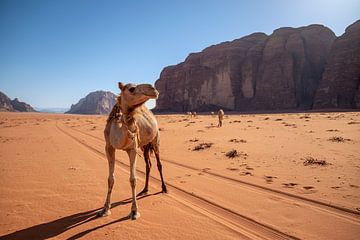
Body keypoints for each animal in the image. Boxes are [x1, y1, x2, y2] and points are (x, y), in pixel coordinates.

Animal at [99, 82, 168, 219]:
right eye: (131, 89)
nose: (153, 89)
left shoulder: (132, 149)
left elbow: (133, 179)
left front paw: (134, 211)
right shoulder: (109, 147)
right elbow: (110, 178)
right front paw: (105, 209)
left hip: (155, 140)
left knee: (159, 164)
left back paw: (164, 188)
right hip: (144, 146)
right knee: (148, 164)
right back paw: (145, 189)